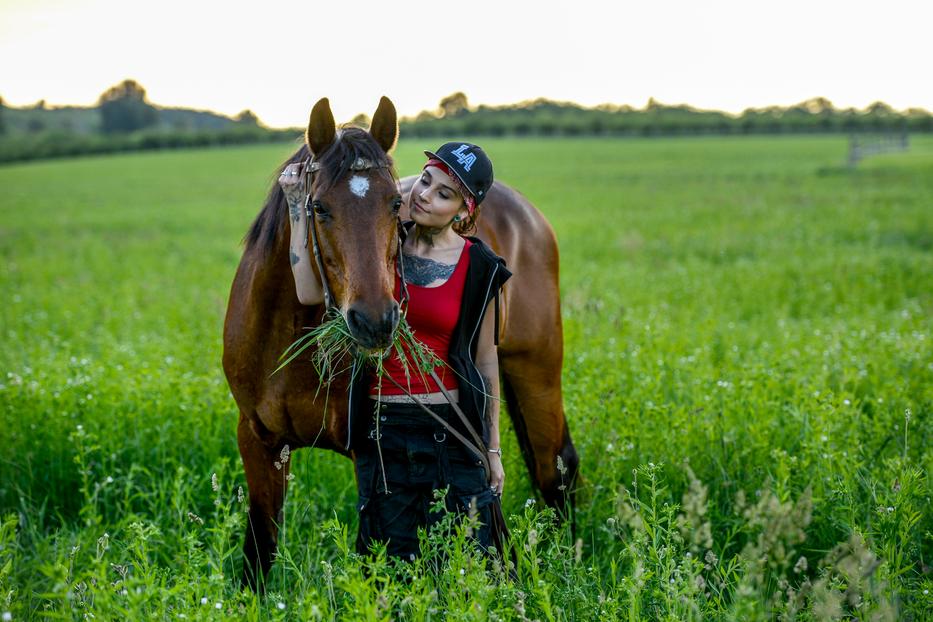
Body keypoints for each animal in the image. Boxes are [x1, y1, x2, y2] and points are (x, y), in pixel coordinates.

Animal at [222, 96, 580, 588]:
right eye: (318, 207)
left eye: (395, 204)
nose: (375, 320)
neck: (287, 335)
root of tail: (524, 213)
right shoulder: (258, 441)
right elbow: (260, 551)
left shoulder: (368, 452)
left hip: (536, 371)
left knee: (555, 470)